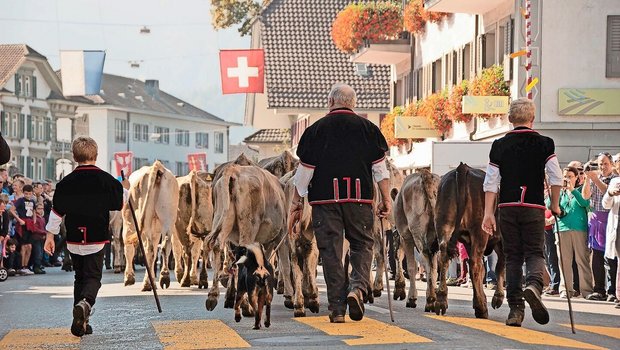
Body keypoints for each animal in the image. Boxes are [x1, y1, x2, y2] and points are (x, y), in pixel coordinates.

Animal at [121, 161, 179, 292]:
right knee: (165, 245)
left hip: (144, 221)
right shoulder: (156, 230)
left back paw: (147, 284)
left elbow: (128, 248)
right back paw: (164, 276)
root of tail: (157, 167)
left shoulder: (128, 222)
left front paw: (129, 277)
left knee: (148, 249)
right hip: (168, 216)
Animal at [206, 165, 288, 314]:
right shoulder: (282, 233)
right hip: (249, 225)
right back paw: (245, 305)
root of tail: (234, 170)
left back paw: (213, 296)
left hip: (222, 217)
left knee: (216, 245)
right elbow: (285, 264)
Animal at [434, 163, 506, 318]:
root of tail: (463, 168)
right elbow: (500, 266)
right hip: (479, 233)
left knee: (443, 257)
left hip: (444, 226)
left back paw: (441, 301)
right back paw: (481, 308)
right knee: (475, 264)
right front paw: (497, 298)